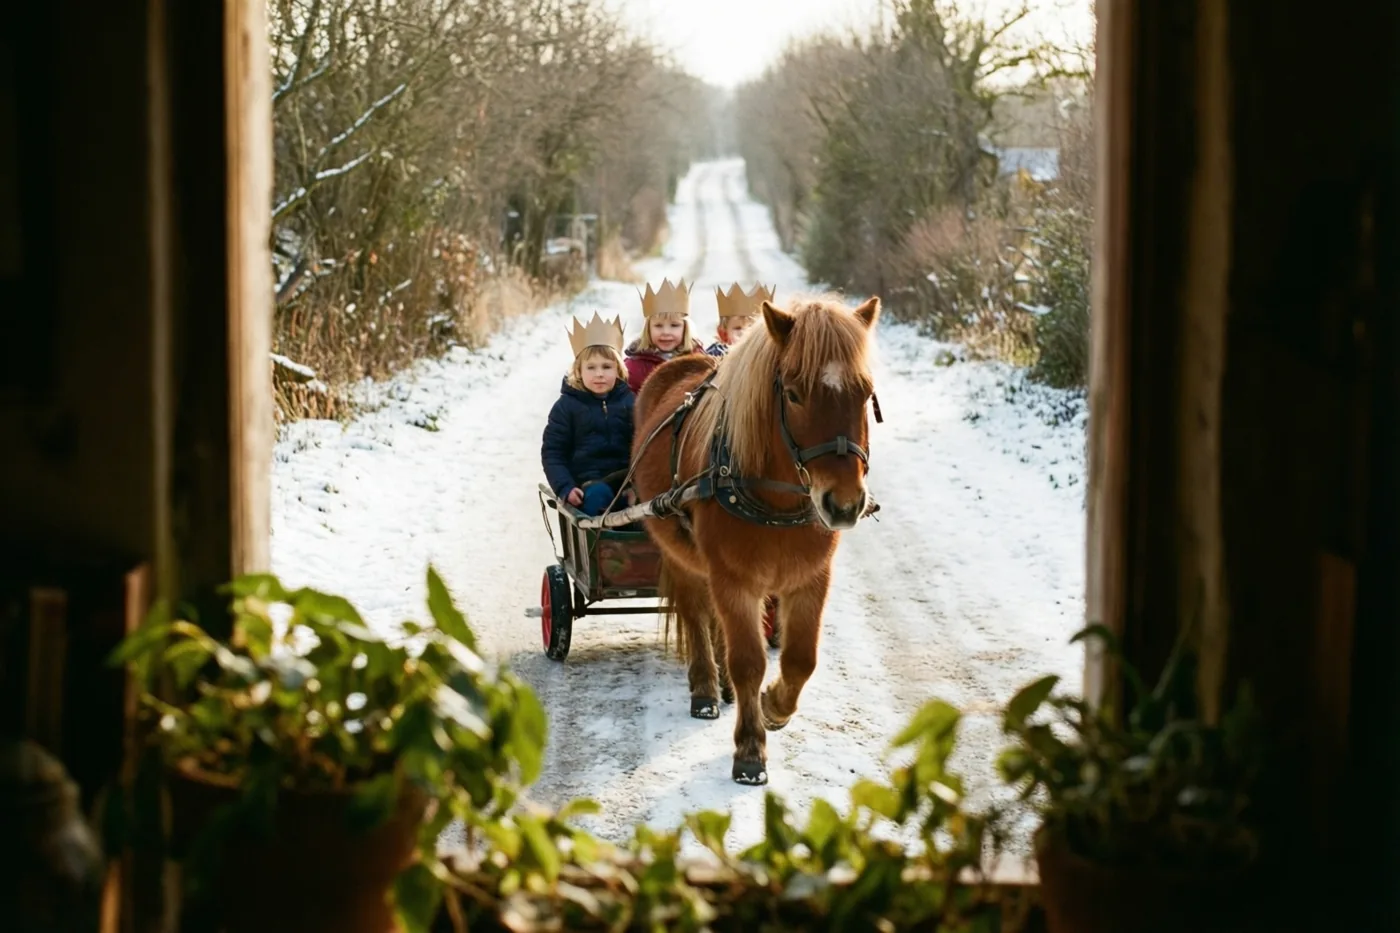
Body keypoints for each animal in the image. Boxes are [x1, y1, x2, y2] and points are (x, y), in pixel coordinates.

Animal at [630, 293, 880, 785]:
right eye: (794, 394)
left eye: (864, 392)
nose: (843, 504)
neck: (775, 499)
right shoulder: (734, 579)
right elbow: (749, 662)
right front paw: (749, 752)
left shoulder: (811, 579)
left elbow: (801, 658)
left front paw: (775, 707)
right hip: (681, 556)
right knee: (696, 615)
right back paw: (706, 688)